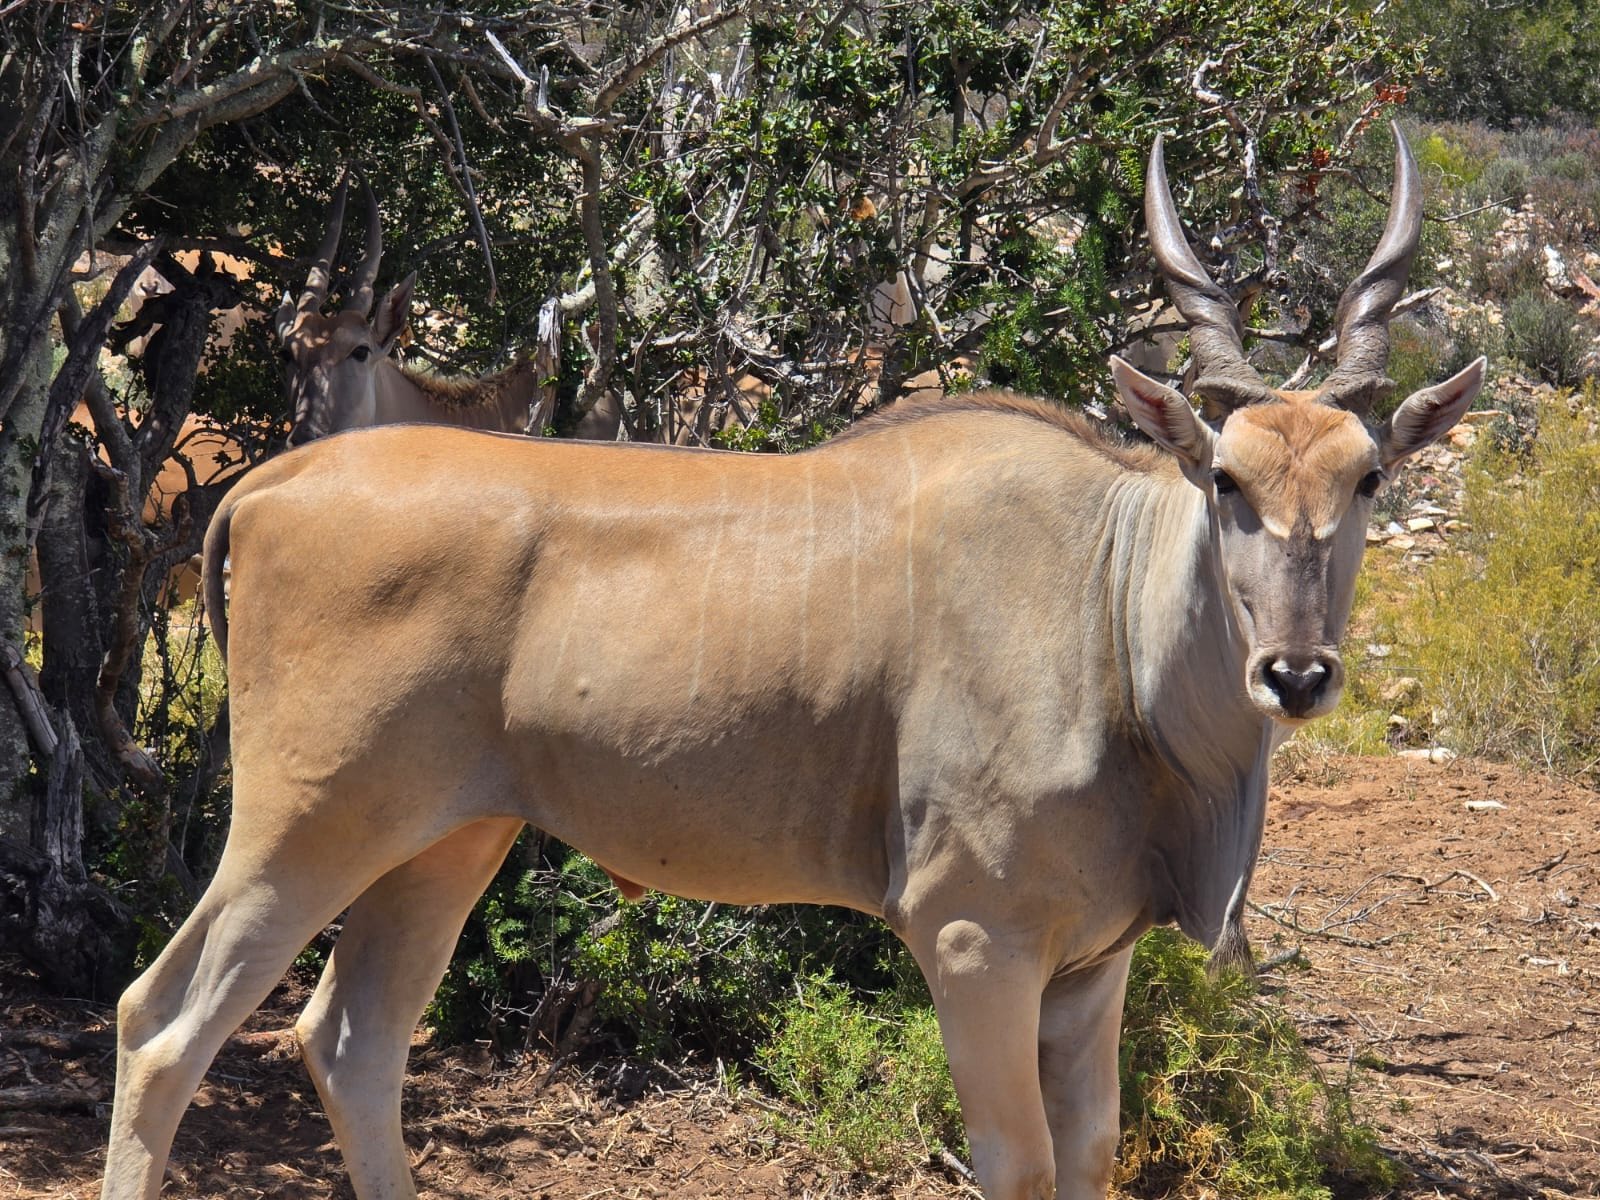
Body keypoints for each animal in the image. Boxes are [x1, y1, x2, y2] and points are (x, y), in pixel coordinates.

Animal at [100, 125, 1484, 1200]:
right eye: (1226, 480)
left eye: (1368, 478)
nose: (1294, 677)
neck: (1106, 598)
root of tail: (273, 483)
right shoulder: (973, 942)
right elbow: (1020, 1162)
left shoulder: (1095, 968)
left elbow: (1091, 1157)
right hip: (307, 818)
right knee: (162, 1025)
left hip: (446, 837)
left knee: (354, 1041)